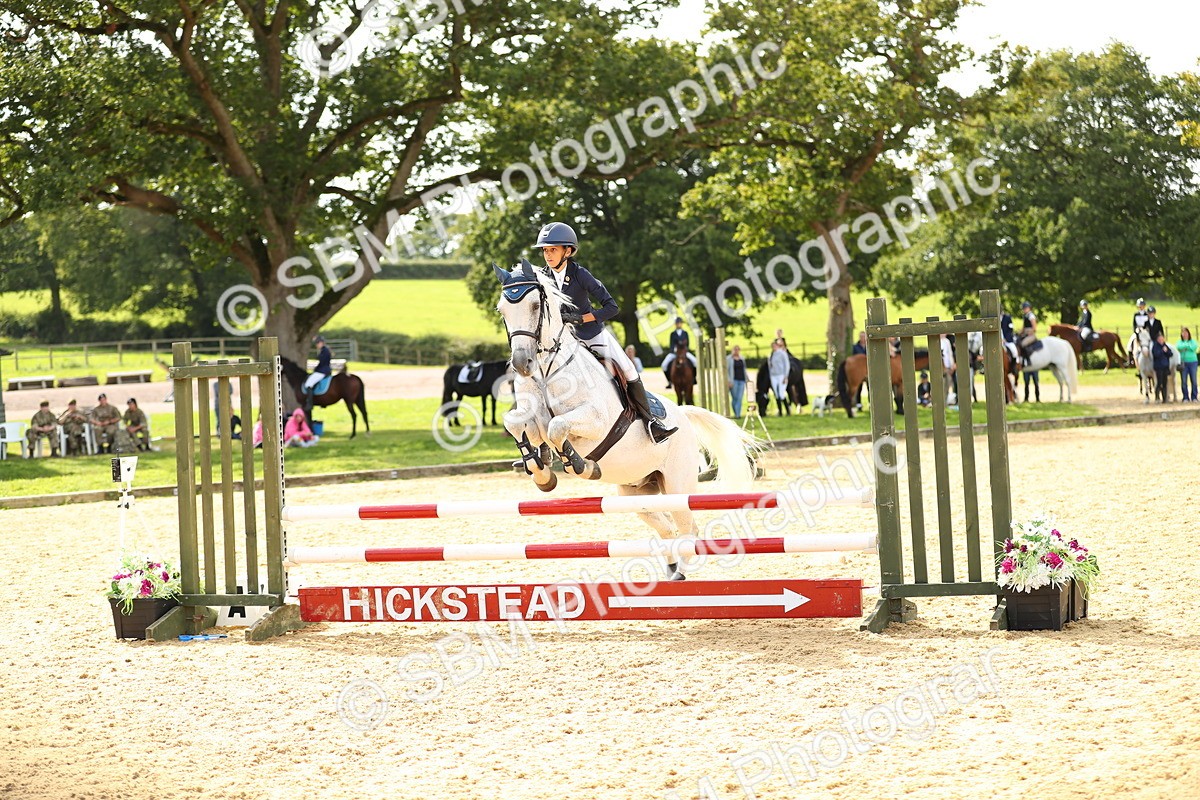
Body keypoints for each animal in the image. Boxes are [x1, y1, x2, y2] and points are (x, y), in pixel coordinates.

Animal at [493, 260, 760, 579]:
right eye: (502, 310)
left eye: (535, 305)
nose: (522, 365)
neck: (547, 369)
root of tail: (683, 415)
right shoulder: (531, 416)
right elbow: (517, 423)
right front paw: (541, 470)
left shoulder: (596, 422)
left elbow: (557, 427)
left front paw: (580, 465)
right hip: (637, 492)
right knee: (667, 528)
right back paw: (671, 570)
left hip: (677, 485)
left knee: (688, 528)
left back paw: (680, 573)